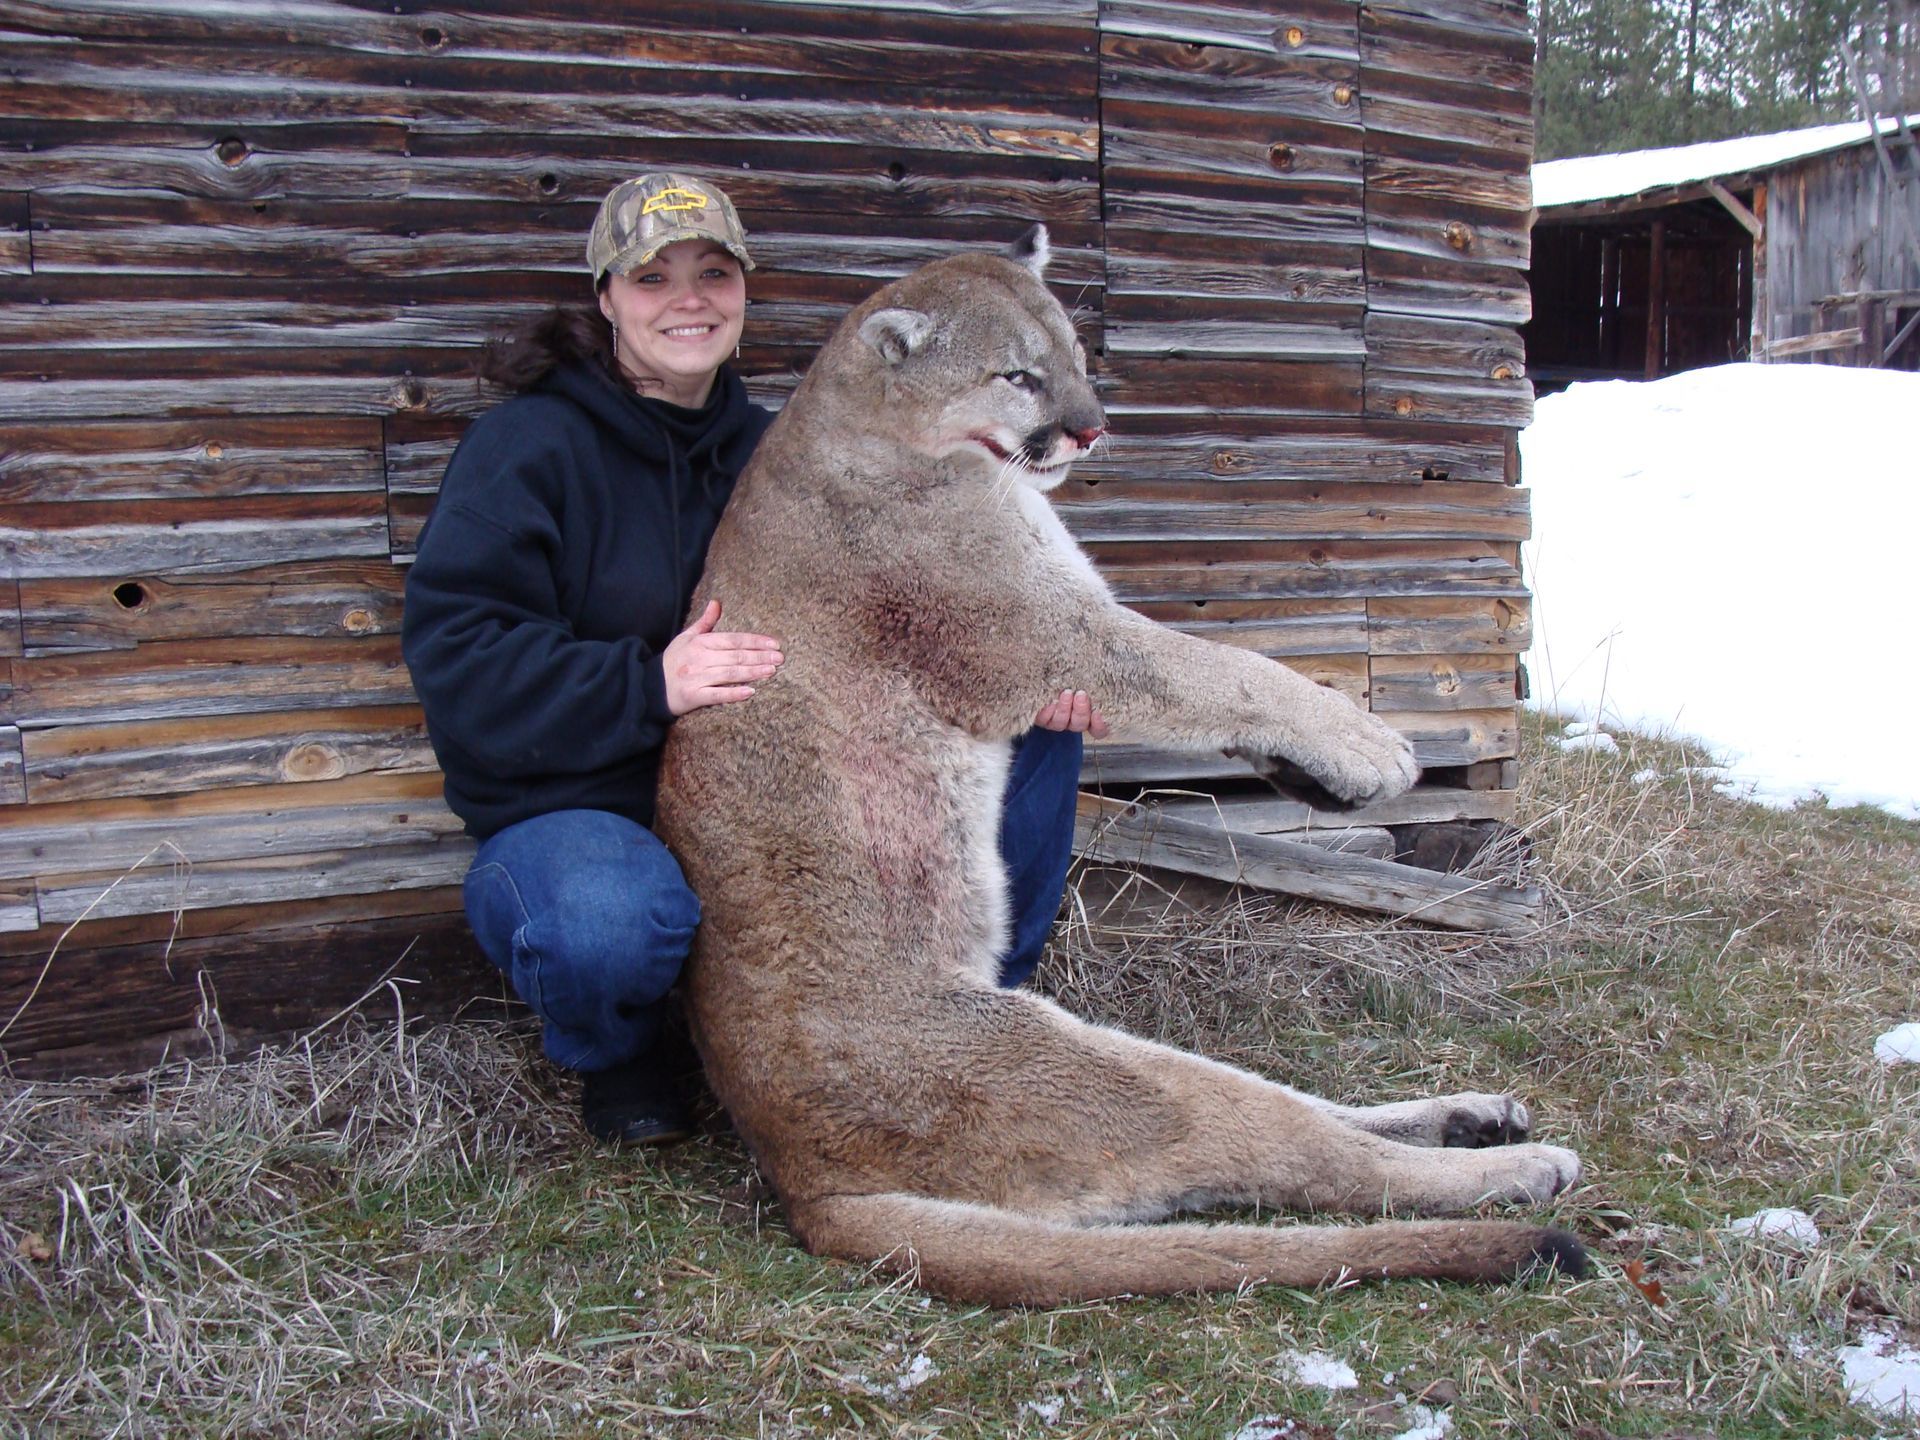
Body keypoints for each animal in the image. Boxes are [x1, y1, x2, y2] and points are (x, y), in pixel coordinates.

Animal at [654, 226, 1585, 1306]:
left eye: (1074, 355)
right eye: (1018, 376)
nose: (1092, 431)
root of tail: (807, 1187)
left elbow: (1222, 691)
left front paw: (1316, 772)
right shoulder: (1055, 636)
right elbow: (1221, 669)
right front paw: (1370, 746)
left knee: (1305, 1112)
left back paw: (1475, 1116)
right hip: (1093, 1077)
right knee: (1309, 1155)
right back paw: (1517, 1168)